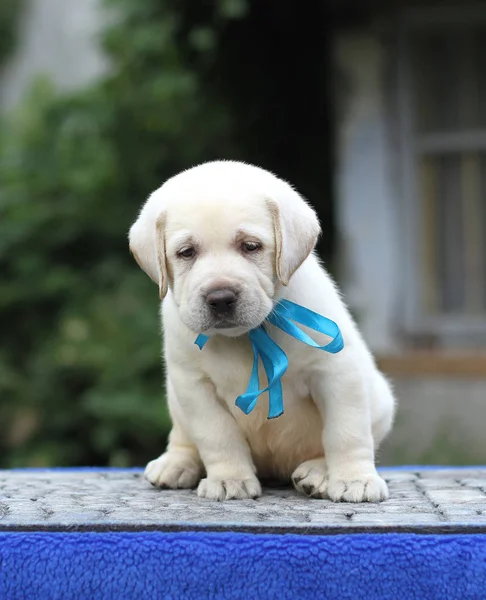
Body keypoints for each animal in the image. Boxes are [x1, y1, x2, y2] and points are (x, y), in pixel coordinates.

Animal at [128, 158, 394, 502]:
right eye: (186, 252)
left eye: (250, 246)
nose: (220, 298)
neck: (248, 335)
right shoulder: (194, 386)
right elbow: (216, 436)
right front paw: (230, 479)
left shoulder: (336, 372)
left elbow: (346, 432)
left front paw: (354, 479)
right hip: (175, 397)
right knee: (183, 435)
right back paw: (176, 463)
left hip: (381, 400)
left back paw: (318, 472)